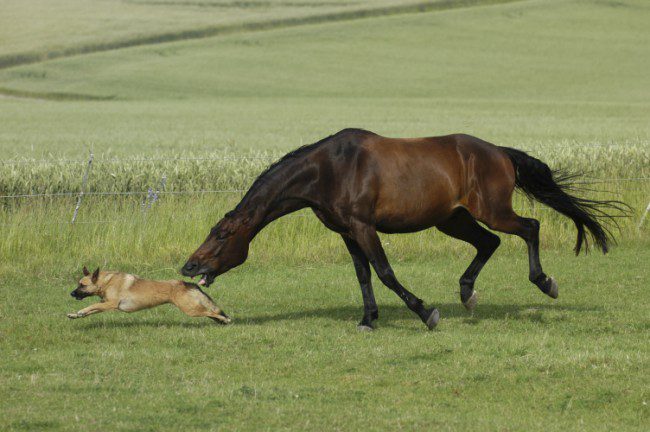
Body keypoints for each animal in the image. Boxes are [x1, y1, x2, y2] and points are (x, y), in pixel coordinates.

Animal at [67, 266, 230, 324]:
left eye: (82, 285)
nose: (71, 293)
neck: (106, 282)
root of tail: (189, 284)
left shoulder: (110, 304)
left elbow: (91, 305)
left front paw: (80, 311)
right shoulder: (104, 304)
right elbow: (91, 310)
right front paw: (75, 315)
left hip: (190, 310)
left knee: (212, 312)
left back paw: (225, 320)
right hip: (194, 308)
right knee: (211, 313)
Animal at [180, 128, 620, 330]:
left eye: (222, 235)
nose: (188, 267)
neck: (329, 169)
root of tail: (499, 152)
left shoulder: (364, 226)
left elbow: (385, 272)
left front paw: (426, 313)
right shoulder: (346, 232)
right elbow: (362, 275)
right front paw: (367, 319)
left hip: (492, 210)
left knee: (529, 227)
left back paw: (545, 283)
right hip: (452, 219)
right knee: (489, 242)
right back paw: (467, 294)